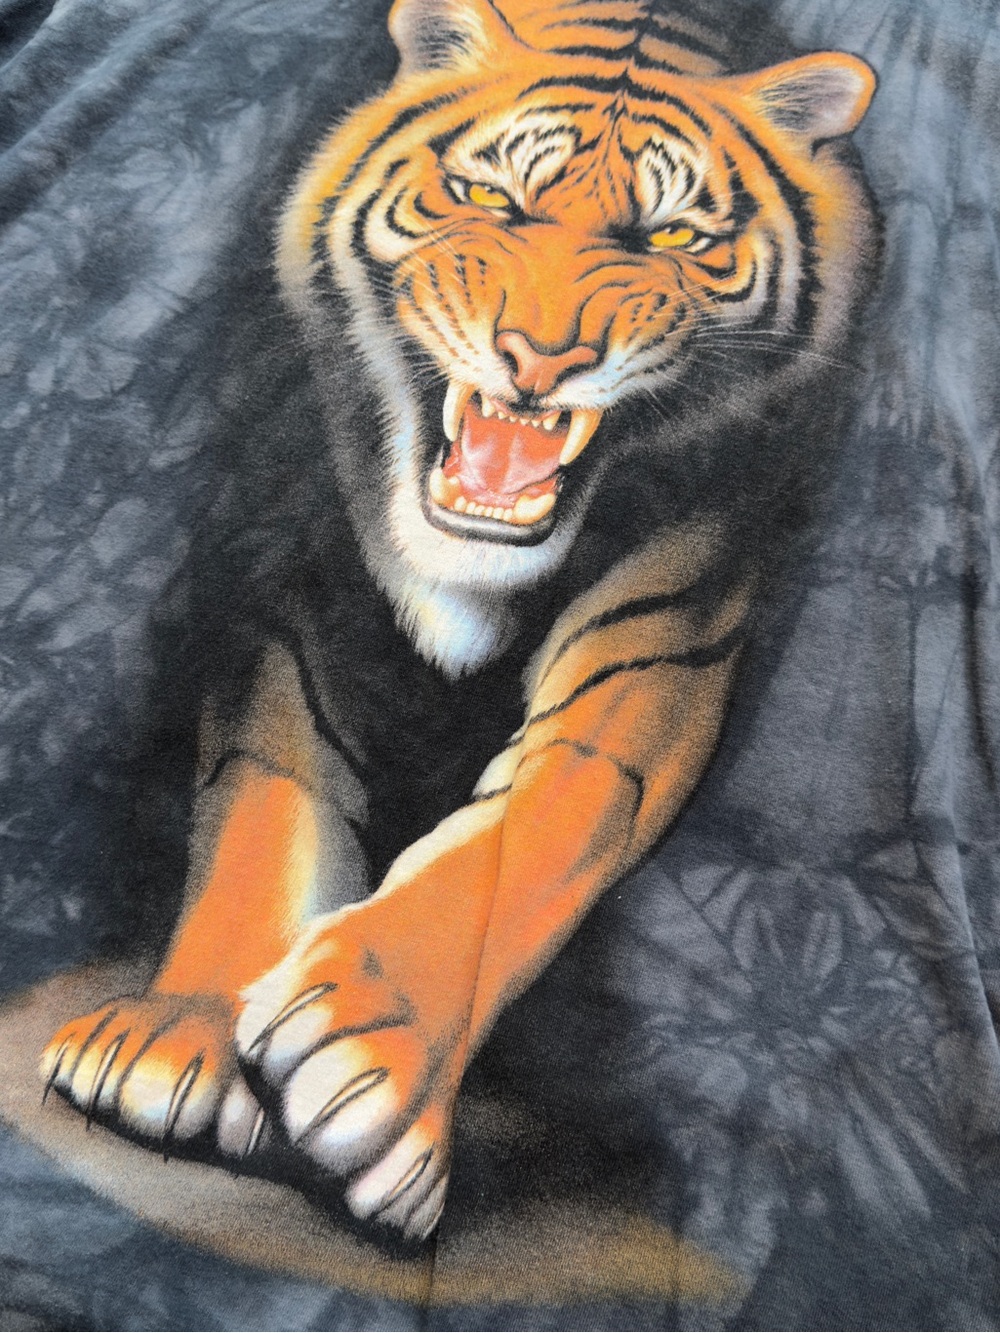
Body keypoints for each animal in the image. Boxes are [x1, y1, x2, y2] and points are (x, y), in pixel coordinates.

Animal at [41, 0, 878, 1244]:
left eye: (673, 237)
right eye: (492, 198)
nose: (543, 358)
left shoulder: (667, 613)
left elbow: (542, 821)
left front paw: (367, 1052)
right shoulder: (291, 571)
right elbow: (264, 800)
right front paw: (173, 1037)